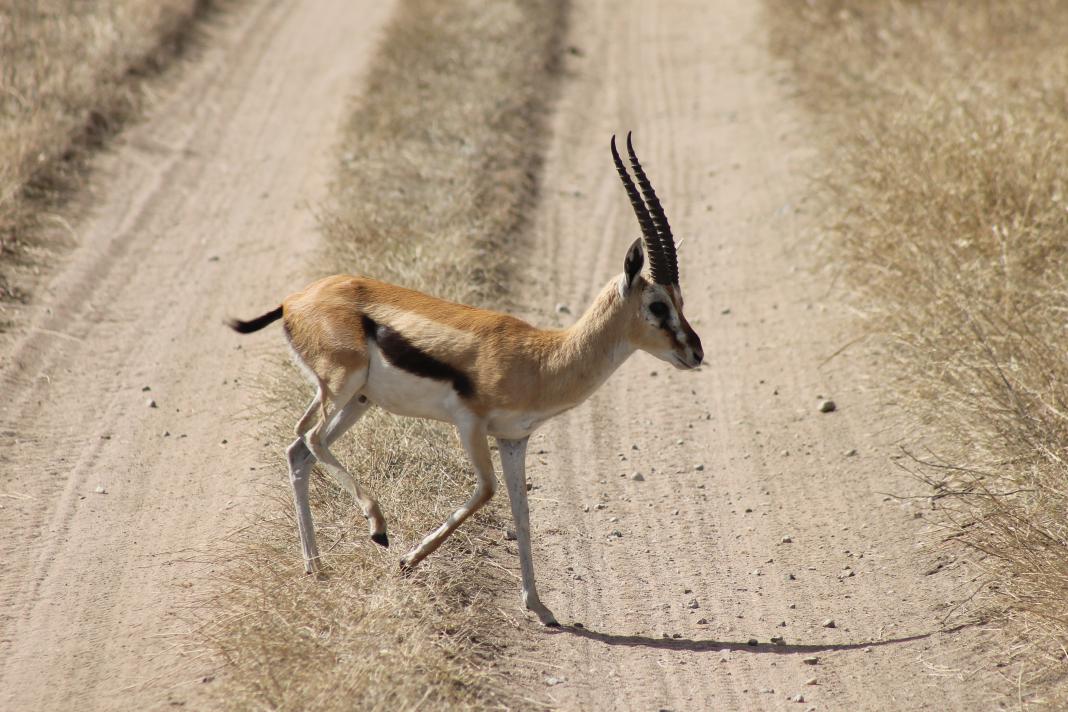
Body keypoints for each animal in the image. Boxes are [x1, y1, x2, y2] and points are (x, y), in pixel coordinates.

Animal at [227, 134, 703, 626]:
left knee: (298, 449)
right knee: (311, 438)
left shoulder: (514, 439)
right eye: (657, 305)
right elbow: (487, 491)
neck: (542, 357)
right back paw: (377, 529)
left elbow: (522, 511)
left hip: (357, 399)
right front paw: (407, 560)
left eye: (681, 300)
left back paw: (317, 569)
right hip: (341, 385)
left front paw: (540, 607)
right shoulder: (469, 423)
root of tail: (293, 301)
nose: (695, 352)